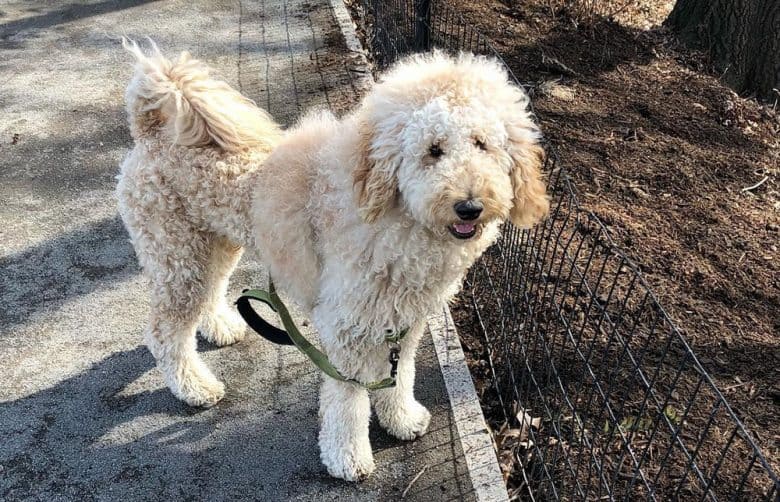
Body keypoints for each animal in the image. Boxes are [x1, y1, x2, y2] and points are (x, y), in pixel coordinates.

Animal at [116, 41, 548, 480]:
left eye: (482, 144)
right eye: (433, 151)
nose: (470, 206)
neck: (397, 221)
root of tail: (151, 132)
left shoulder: (405, 322)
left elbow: (400, 375)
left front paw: (402, 419)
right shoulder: (346, 327)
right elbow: (348, 398)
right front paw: (347, 456)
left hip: (214, 245)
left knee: (210, 290)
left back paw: (220, 327)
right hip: (176, 254)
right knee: (165, 332)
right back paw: (194, 387)